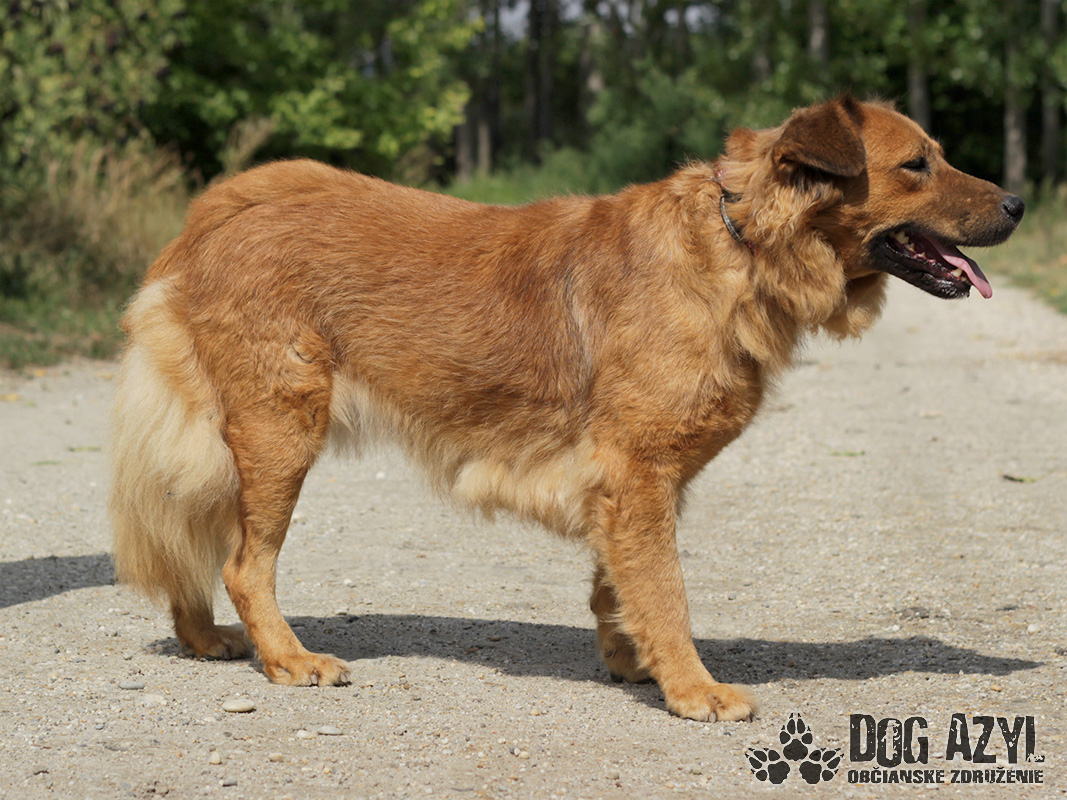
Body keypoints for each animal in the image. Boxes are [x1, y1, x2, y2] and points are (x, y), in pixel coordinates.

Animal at [110, 96, 1023, 721]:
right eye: (916, 165)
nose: (1018, 204)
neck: (738, 244)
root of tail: (220, 214)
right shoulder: (637, 473)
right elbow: (665, 591)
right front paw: (692, 687)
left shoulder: (632, 482)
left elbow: (618, 586)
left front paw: (634, 661)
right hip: (280, 432)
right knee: (242, 562)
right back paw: (288, 658)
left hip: (237, 440)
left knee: (194, 536)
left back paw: (204, 639)